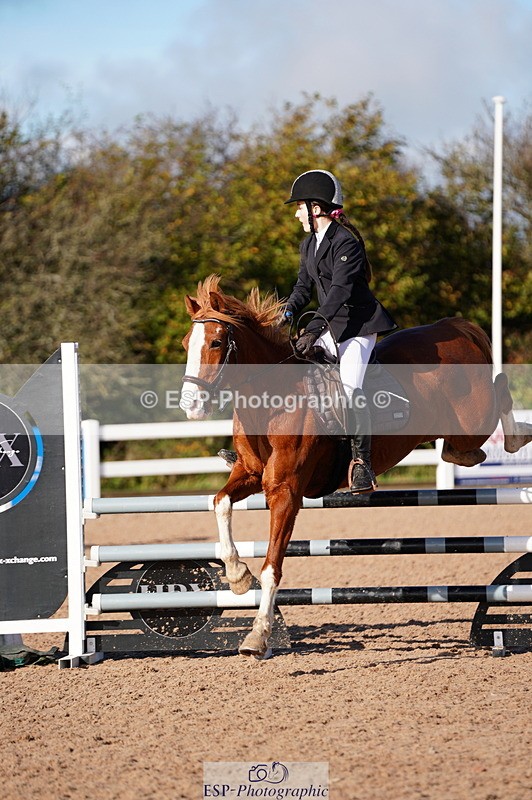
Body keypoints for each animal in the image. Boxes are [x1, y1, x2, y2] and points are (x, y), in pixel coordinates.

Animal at [180, 275, 532, 657]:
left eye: (216, 342)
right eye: (186, 344)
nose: (190, 406)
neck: (271, 401)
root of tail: (452, 327)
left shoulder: (286, 492)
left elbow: (273, 566)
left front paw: (258, 636)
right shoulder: (250, 474)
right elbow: (221, 503)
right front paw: (237, 576)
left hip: (474, 421)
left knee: (501, 392)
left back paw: (519, 435)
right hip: (460, 431)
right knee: (463, 447)